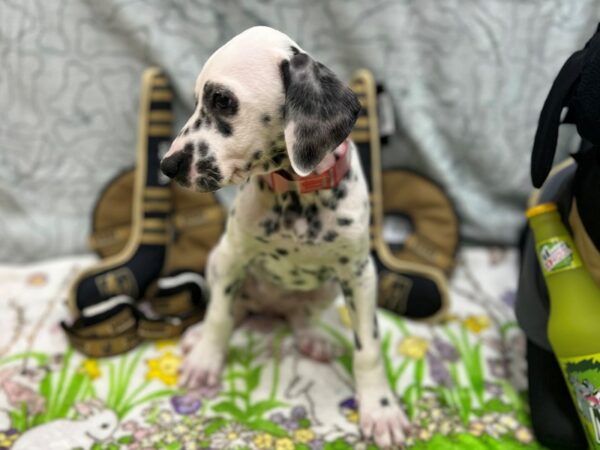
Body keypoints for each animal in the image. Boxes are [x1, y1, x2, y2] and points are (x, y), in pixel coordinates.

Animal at [162, 26, 410, 448]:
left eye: (222, 100)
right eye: (196, 102)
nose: (168, 165)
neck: (297, 195)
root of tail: (270, 308)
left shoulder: (360, 276)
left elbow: (369, 349)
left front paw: (381, 409)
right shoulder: (232, 258)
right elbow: (219, 317)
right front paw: (206, 361)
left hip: (326, 289)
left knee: (300, 315)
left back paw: (313, 338)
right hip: (218, 263)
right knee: (234, 310)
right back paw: (199, 337)